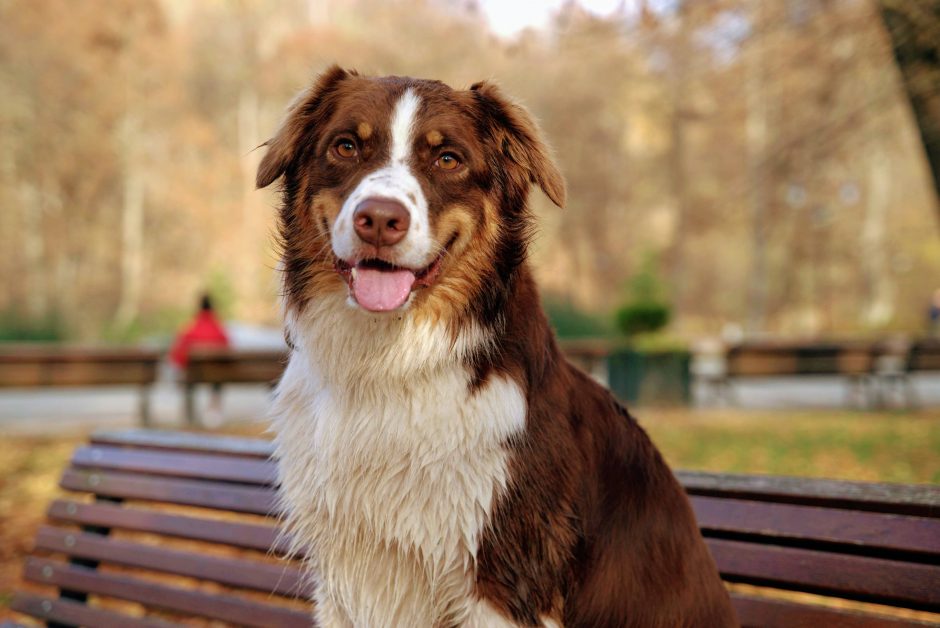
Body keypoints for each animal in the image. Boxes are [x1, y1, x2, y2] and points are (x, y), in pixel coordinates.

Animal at [255, 66, 736, 624]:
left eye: (448, 158)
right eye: (346, 146)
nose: (377, 219)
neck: (390, 361)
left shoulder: (505, 577)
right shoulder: (344, 574)